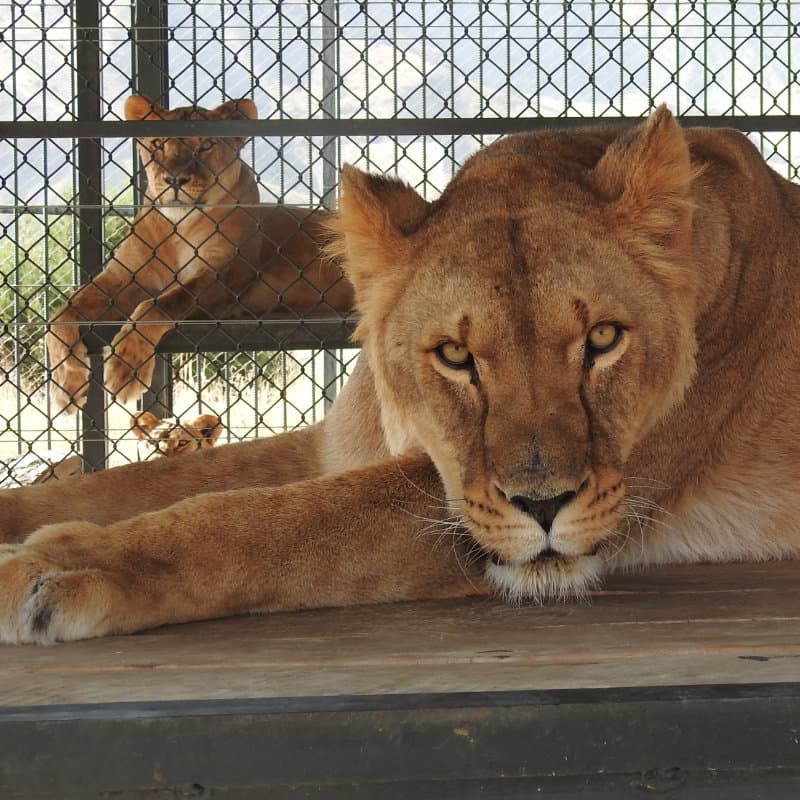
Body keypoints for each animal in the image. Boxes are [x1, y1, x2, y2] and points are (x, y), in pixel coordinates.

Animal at [47, 95, 352, 412]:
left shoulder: (218, 275)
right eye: (158, 143)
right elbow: (60, 316)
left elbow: (158, 305)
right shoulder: (123, 276)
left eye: (205, 145)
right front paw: (65, 381)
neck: (176, 228)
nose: (174, 180)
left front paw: (125, 369)